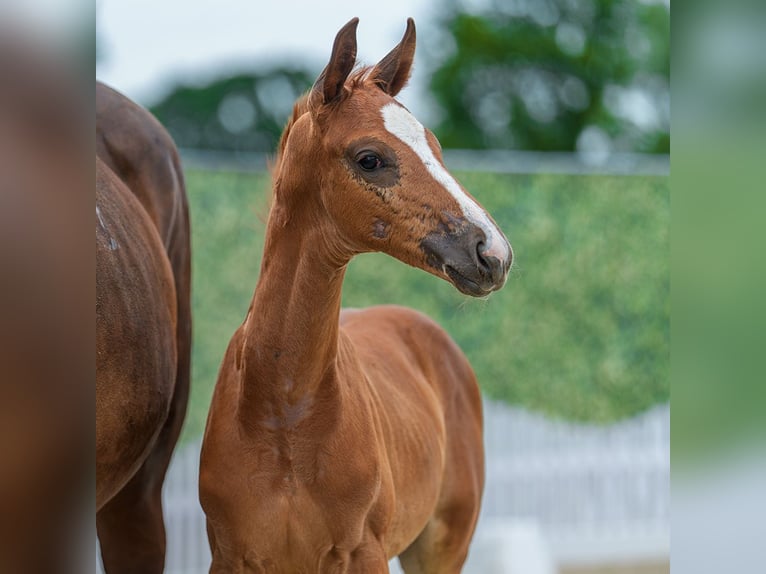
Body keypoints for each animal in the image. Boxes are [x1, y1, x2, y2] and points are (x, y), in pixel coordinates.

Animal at [199, 18, 512, 573]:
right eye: (370, 158)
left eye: (435, 146)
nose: (493, 252)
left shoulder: (365, 551)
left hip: (443, 544)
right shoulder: (229, 556)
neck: (283, 413)